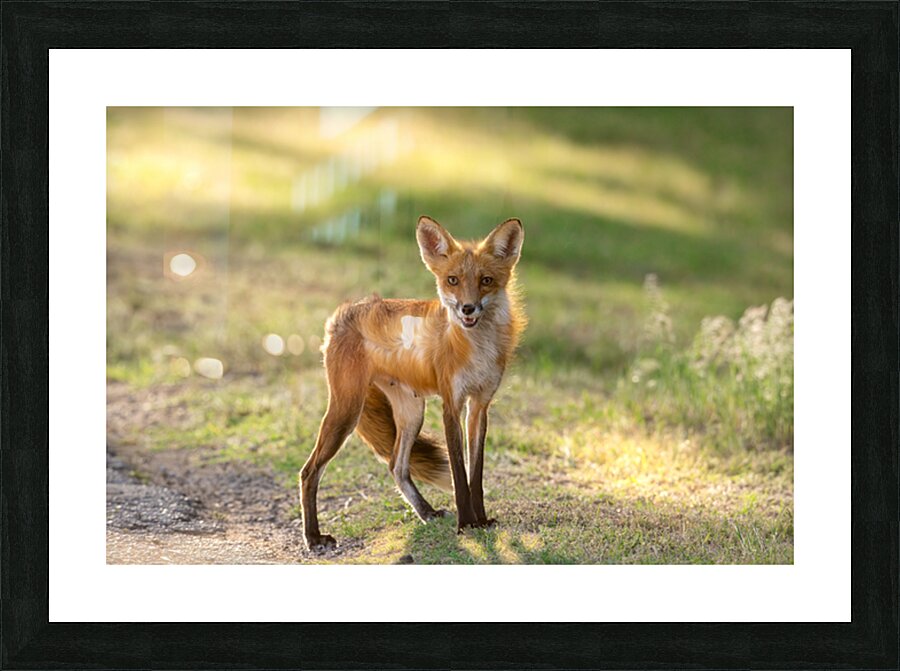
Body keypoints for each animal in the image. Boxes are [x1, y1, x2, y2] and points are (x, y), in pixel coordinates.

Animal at [299, 215, 526, 552]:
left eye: (486, 280)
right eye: (452, 280)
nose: (467, 308)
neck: (477, 348)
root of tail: (343, 312)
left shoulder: (479, 406)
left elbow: (476, 475)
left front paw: (481, 520)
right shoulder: (451, 405)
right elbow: (459, 474)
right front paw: (466, 524)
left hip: (412, 414)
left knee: (396, 466)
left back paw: (426, 512)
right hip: (347, 412)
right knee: (309, 471)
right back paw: (313, 537)